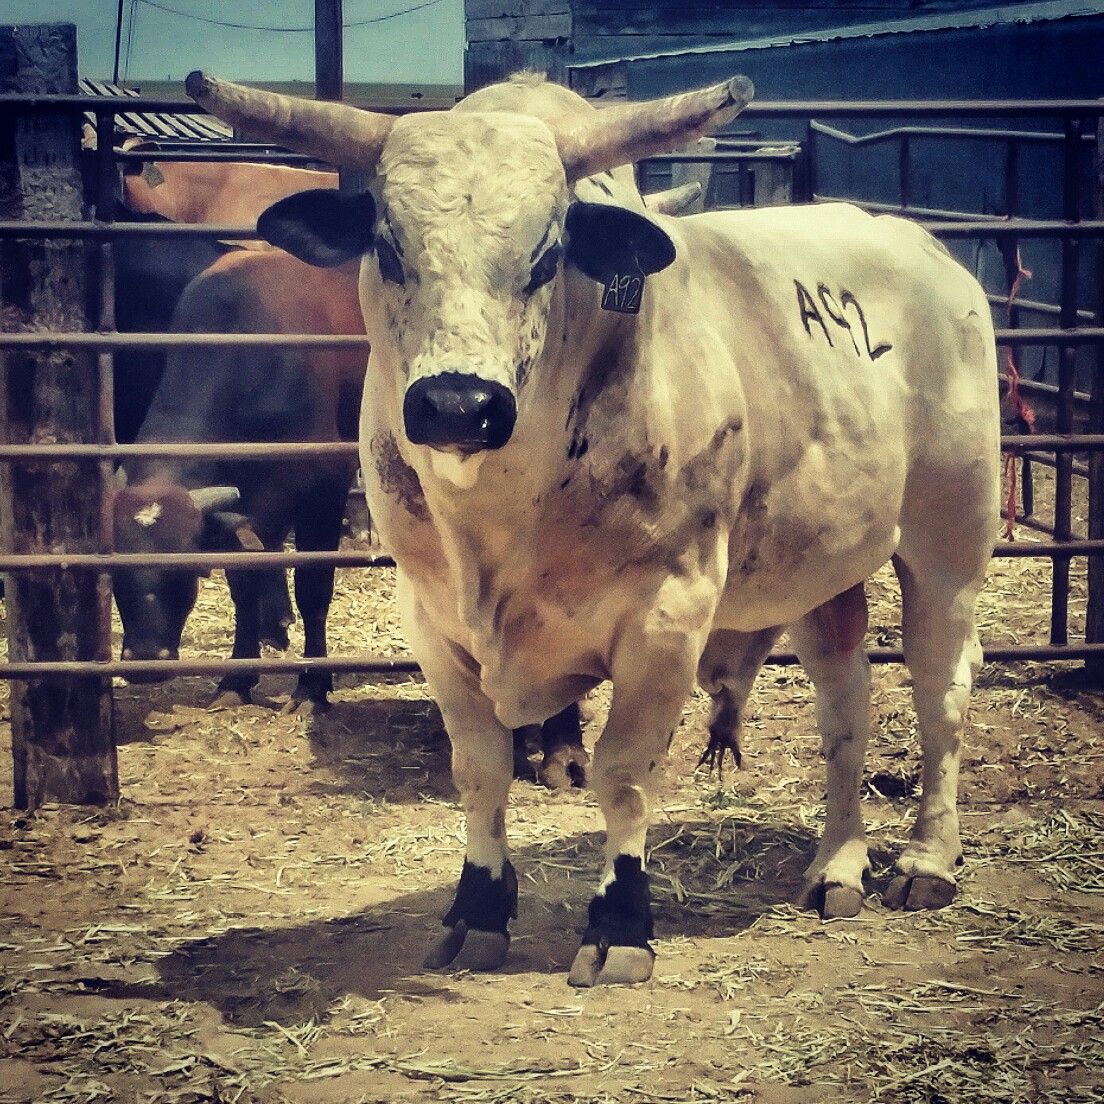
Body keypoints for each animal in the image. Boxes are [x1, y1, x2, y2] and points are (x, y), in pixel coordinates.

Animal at [189, 68, 1001, 986]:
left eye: (547, 255)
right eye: (389, 247)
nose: (457, 405)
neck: (500, 523)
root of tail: (926, 252)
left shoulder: (666, 616)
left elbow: (623, 774)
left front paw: (620, 924)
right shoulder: (430, 619)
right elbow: (481, 768)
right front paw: (476, 910)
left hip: (950, 539)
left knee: (941, 689)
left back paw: (927, 862)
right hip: (821, 565)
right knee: (844, 698)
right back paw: (837, 866)